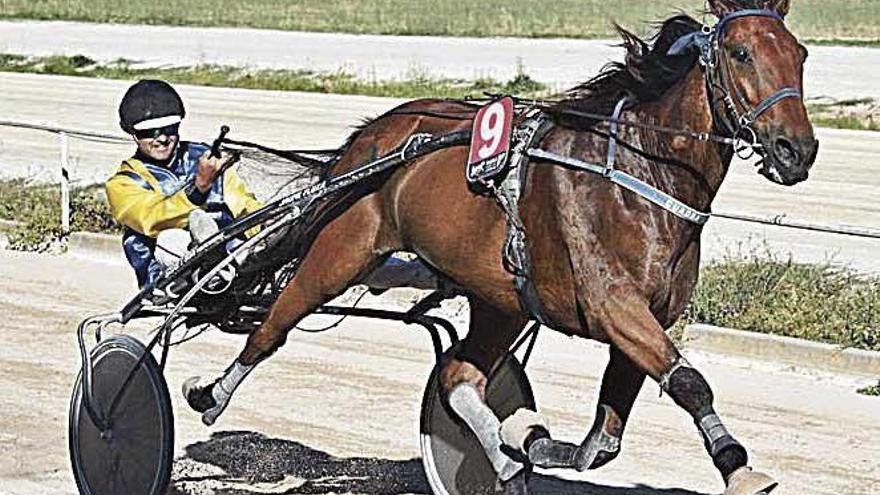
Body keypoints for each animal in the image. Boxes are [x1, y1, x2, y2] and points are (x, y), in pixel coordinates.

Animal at [184, 1, 820, 494]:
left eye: (800, 54)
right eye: (740, 52)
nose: (797, 149)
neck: (639, 174)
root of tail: (375, 135)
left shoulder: (644, 320)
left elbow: (604, 441)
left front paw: (528, 437)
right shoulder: (615, 308)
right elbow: (688, 382)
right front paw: (741, 469)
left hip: (500, 297)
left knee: (459, 377)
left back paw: (505, 452)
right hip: (342, 249)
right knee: (275, 325)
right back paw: (207, 393)